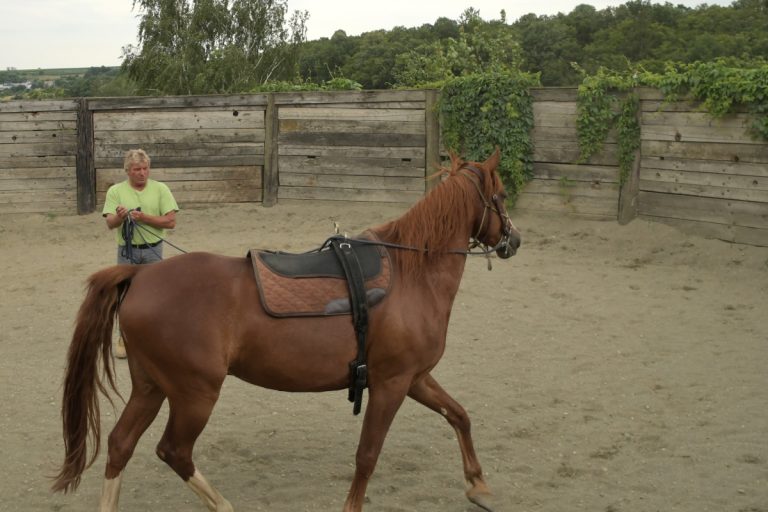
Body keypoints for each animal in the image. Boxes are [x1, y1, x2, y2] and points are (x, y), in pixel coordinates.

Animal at [52, 146, 520, 510]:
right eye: (500, 195)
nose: (513, 240)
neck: (411, 273)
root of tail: (141, 276)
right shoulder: (391, 384)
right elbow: (367, 454)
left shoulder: (415, 378)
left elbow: (459, 415)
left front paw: (478, 485)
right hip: (194, 393)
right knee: (174, 451)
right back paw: (224, 505)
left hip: (151, 386)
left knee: (120, 444)